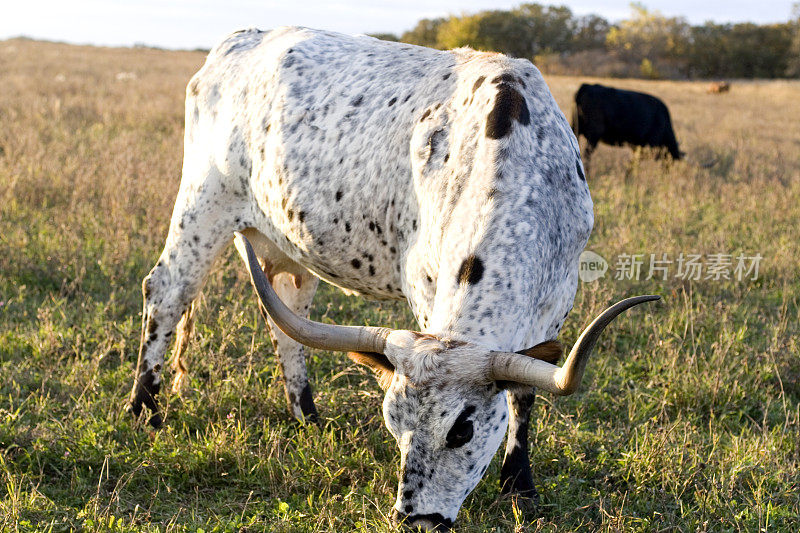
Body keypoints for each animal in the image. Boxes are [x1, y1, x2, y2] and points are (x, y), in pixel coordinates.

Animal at [130, 27, 656, 528]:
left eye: (461, 430)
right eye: (393, 423)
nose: (416, 519)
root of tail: (237, 40)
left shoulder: (558, 298)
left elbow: (525, 394)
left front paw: (520, 488)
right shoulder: (425, 285)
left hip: (285, 241)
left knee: (287, 321)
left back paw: (308, 416)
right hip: (203, 204)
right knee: (166, 291)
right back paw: (144, 410)